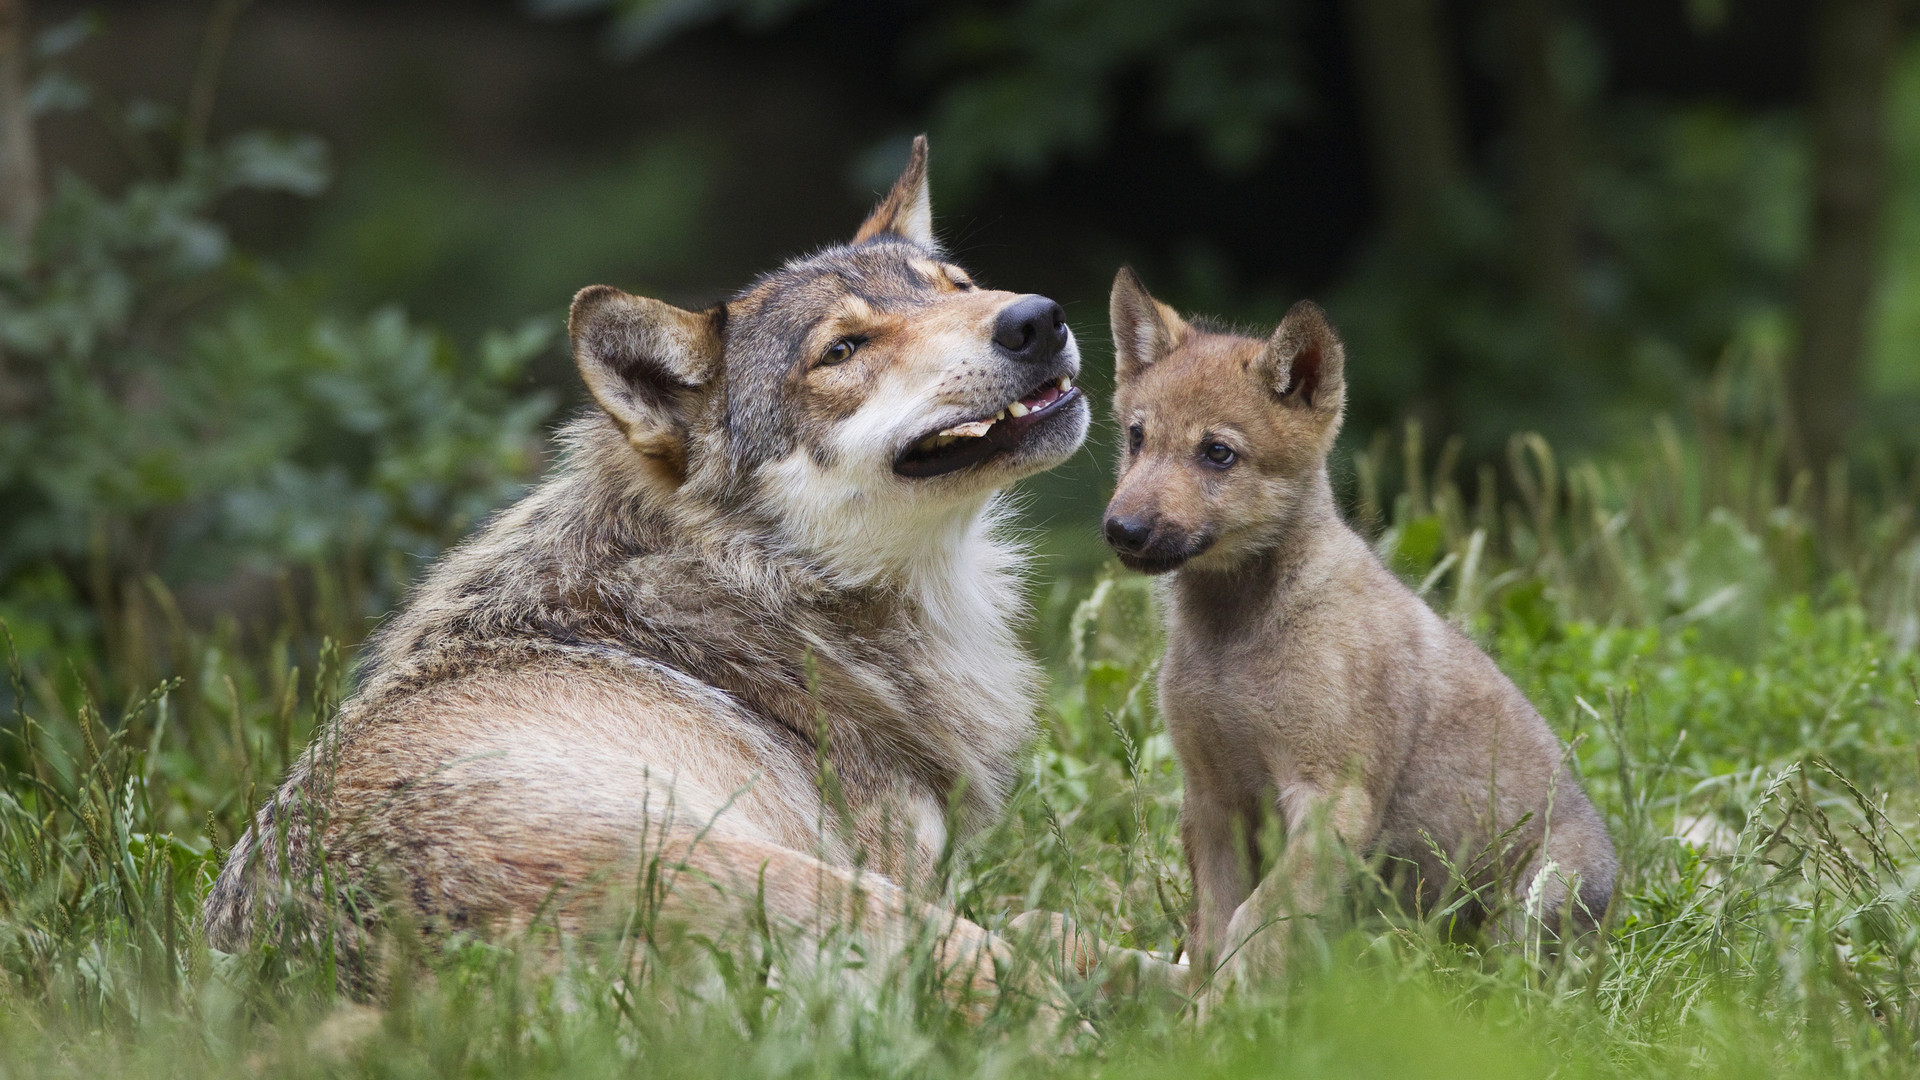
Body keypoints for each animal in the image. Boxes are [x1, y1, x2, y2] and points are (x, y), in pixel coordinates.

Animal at [208, 138, 1098, 1014]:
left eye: (960, 288)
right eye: (843, 351)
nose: (1034, 318)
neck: (767, 581)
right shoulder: (913, 873)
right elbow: (1052, 918)